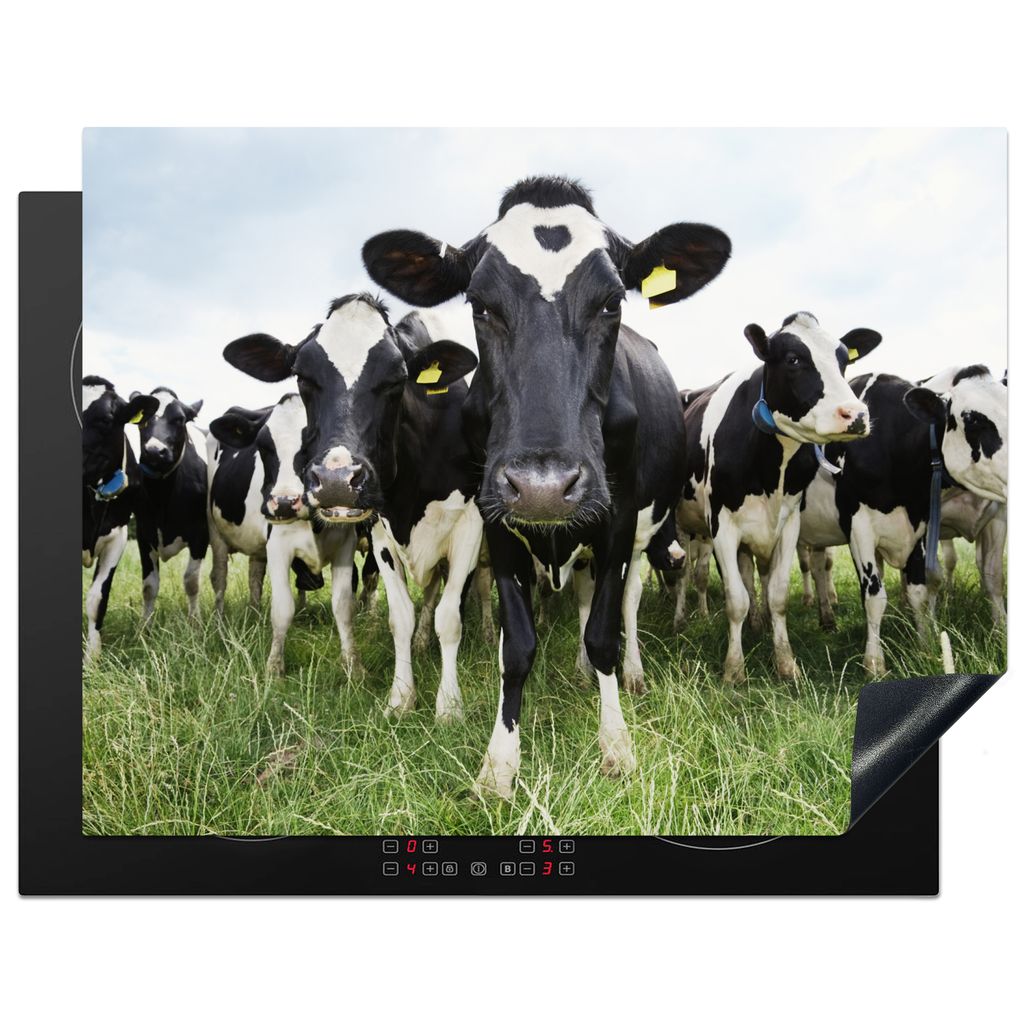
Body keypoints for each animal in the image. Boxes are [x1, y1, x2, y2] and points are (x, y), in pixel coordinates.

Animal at [132, 387, 209, 621]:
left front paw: (195, 622)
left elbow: (191, 581)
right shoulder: (144, 533)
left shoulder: (201, 534)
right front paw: (144, 625)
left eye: (180, 419)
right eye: (142, 419)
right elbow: (149, 586)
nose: (154, 451)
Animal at [209, 393, 360, 677]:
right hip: (216, 534)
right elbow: (282, 609)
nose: (285, 503)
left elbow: (344, 606)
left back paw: (255, 615)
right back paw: (219, 623)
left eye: (314, 439)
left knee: (254, 576)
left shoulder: (346, 544)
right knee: (219, 578)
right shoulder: (278, 546)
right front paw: (274, 668)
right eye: (263, 446)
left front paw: (353, 666)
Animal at [362, 175, 730, 797]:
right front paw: (499, 764)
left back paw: (626, 674)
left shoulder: (617, 519)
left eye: (612, 302)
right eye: (480, 305)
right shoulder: (495, 520)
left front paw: (616, 746)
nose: (543, 487)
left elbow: (604, 632)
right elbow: (516, 646)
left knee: (625, 603)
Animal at [677, 312, 882, 683]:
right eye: (793, 359)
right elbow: (735, 599)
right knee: (684, 573)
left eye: (844, 360)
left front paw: (786, 663)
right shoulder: (721, 525)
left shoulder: (788, 524)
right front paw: (734, 670)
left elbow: (777, 594)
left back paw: (757, 624)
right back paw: (680, 619)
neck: (770, 468)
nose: (856, 414)